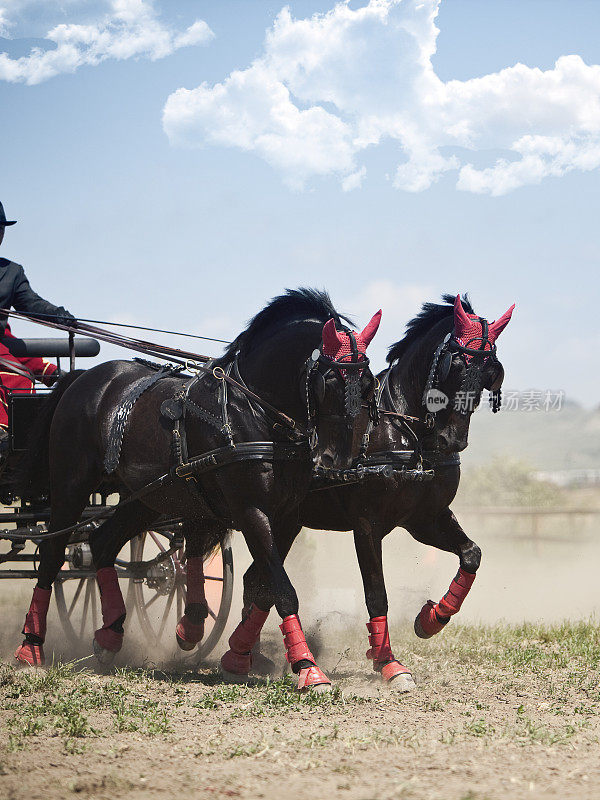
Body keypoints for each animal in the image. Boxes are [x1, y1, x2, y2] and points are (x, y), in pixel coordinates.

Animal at [14, 290, 380, 692]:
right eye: (329, 381)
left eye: (368, 384)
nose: (339, 460)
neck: (254, 411)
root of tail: (84, 377)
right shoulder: (251, 511)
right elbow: (282, 589)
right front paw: (307, 667)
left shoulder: (286, 517)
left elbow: (264, 586)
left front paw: (238, 657)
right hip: (71, 485)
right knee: (53, 555)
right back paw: (30, 648)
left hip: (148, 496)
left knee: (102, 543)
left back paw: (110, 634)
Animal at [217, 292, 516, 688]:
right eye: (454, 363)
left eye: (489, 372)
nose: (452, 440)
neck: (405, 431)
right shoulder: (367, 525)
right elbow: (377, 594)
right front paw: (389, 663)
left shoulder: (426, 519)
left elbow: (471, 554)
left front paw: (431, 619)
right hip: (263, 515)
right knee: (261, 580)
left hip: (285, 521)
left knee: (258, 581)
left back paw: (246, 655)